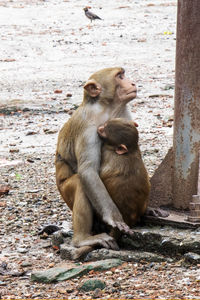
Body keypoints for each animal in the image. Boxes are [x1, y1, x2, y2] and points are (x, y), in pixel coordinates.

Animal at [55, 67, 136, 253]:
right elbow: (88, 171)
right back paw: (82, 239)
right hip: (64, 191)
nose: (132, 83)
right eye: (120, 76)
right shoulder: (89, 128)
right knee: (80, 182)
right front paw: (115, 218)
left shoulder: (124, 117)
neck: (106, 109)